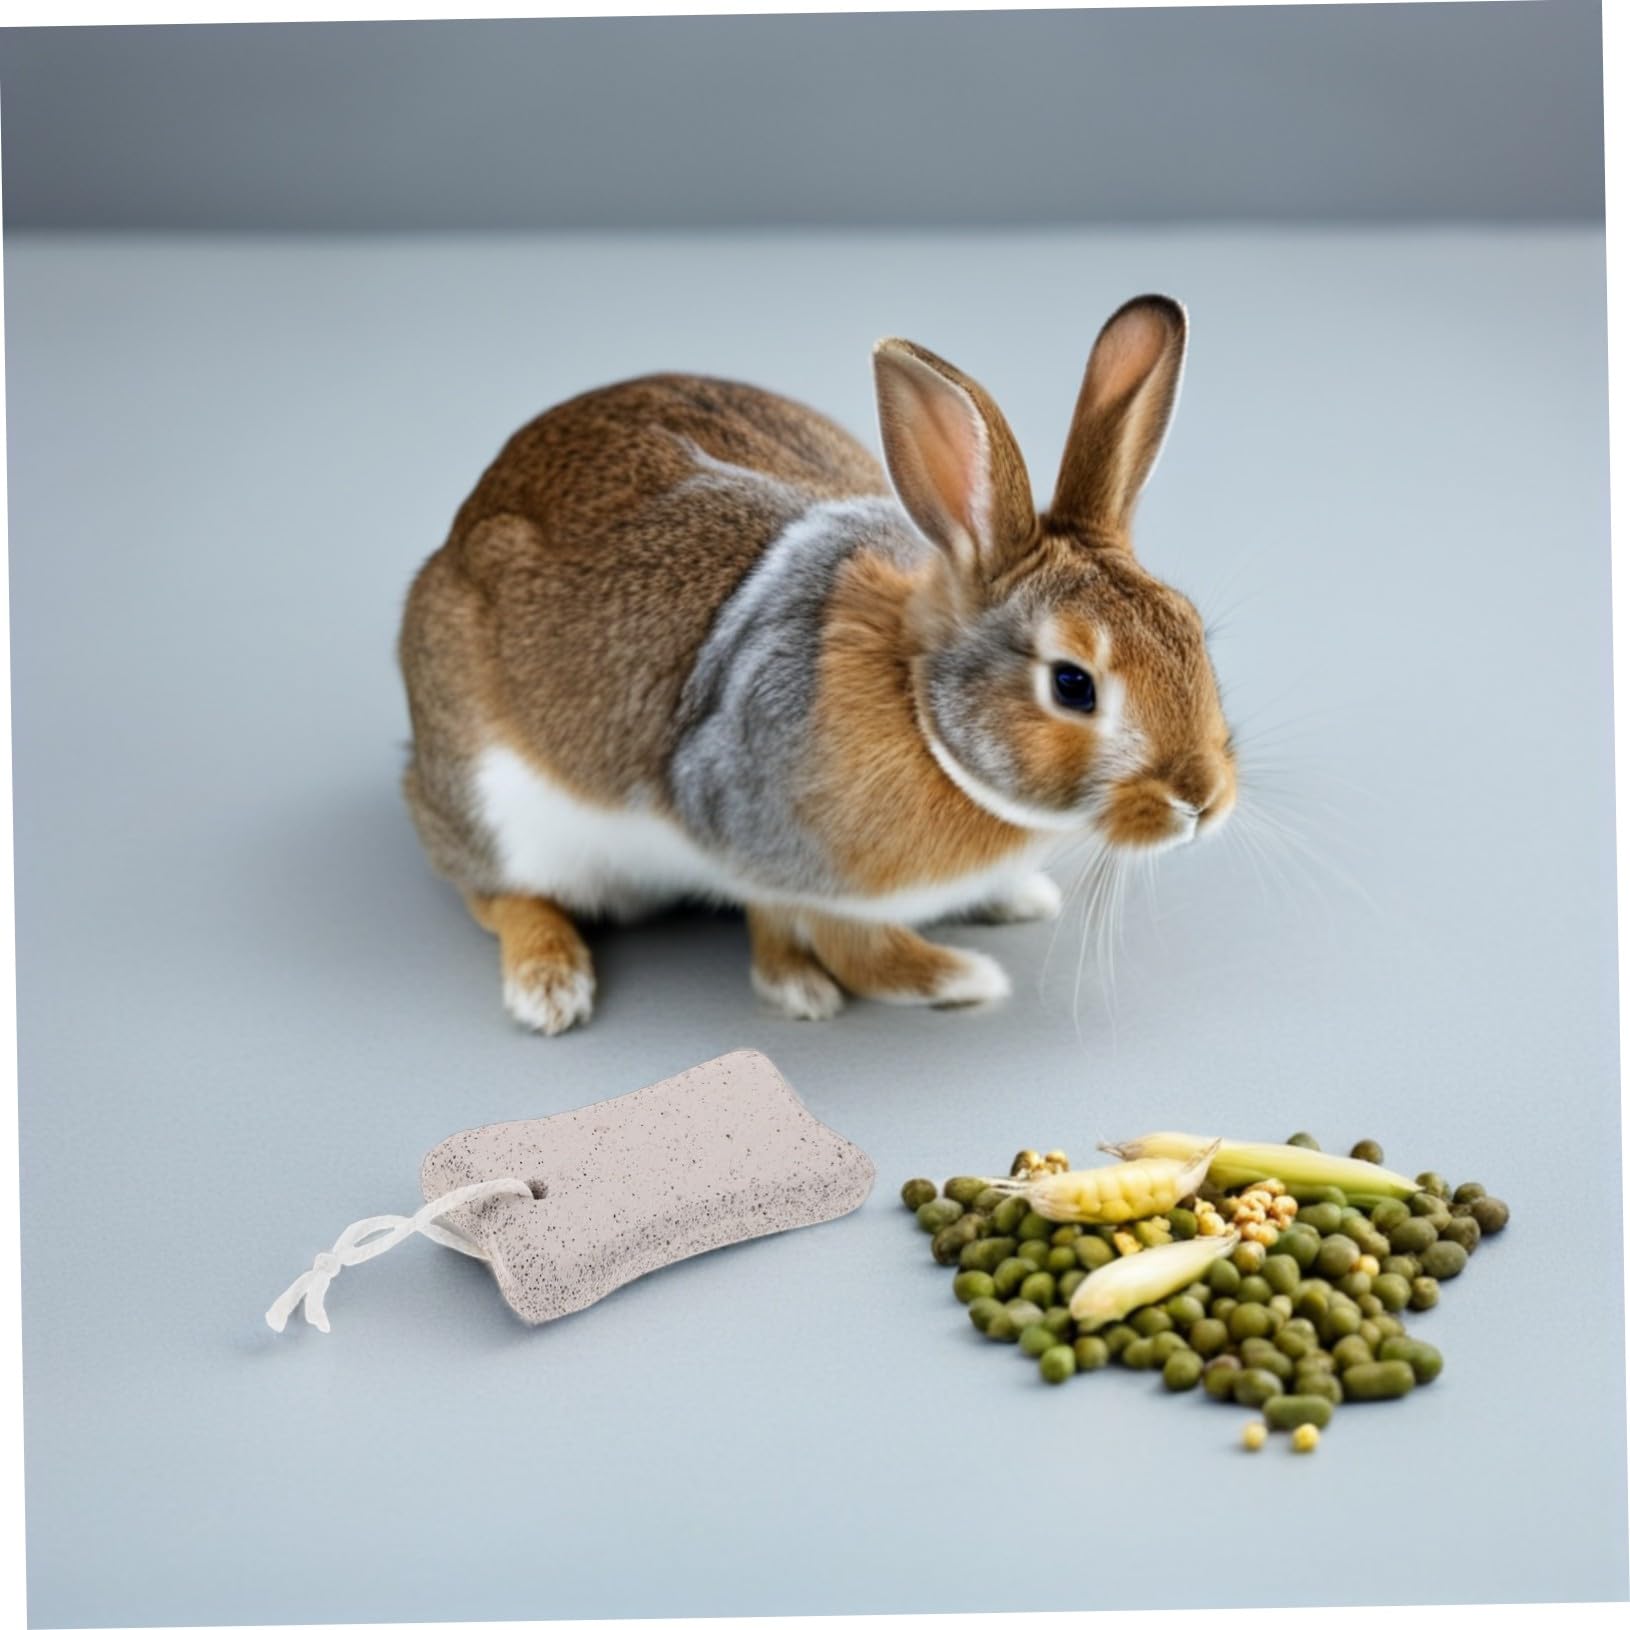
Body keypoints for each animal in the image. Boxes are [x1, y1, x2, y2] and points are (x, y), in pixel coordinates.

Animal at [398, 294, 1236, 1034]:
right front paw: (945, 980)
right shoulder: (767, 848)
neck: (919, 707)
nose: (1203, 801)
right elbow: (844, 943)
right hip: (495, 805)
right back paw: (549, 988)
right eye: (1072, 684)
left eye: (1190, 630)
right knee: (497, 894)